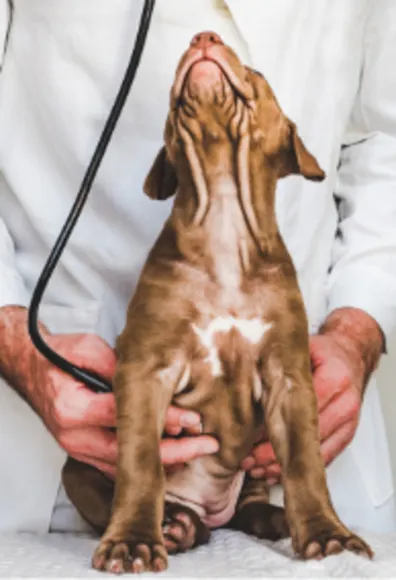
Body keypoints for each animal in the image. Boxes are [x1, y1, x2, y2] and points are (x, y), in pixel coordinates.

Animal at [63, 30, 372, 572]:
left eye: (258, 72)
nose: (204, 36)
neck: (224, 216)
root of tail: (207, 511)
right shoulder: (145, 371)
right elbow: (141, 462)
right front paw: (133, 542)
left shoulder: (289, 379)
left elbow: (306, 462)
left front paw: (327, 533)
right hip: (77, 467)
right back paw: (175, 526)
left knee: (248, 504)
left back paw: (269, 520)